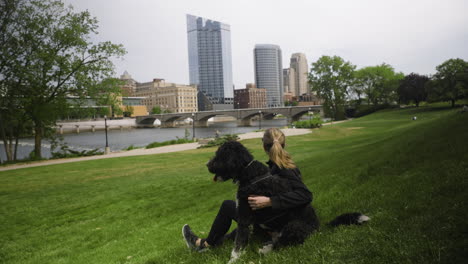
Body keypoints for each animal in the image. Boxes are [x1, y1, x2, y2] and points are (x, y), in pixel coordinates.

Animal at [207, 140, 370, 262]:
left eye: (219, 156)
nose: (207, 165)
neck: (249, 172)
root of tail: (319, 228)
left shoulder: (245, 217)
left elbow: (238, 245)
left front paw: (233, 260)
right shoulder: (250, 219)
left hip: (294, 227)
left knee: (281, 244)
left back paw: (266, 251)